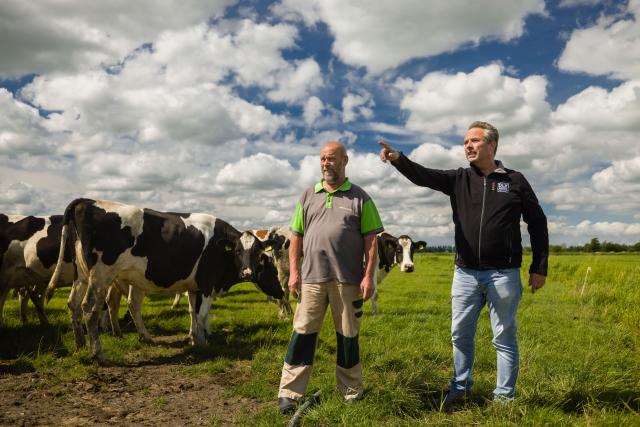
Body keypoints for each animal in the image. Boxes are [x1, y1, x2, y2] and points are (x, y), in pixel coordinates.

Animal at [45, 199, 284, 362]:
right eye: (237, 252)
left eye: (257, 253)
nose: (248, 273)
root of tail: (86, 201)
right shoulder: (206, 284)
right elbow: (202, 314)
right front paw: (201, 343)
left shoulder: (194, 287)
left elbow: (193, 313)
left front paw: (194, 337)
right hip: (101, 276)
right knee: (89, 308)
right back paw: (98, 353)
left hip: (82, 275)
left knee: (75, 304)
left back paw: (82, 344)